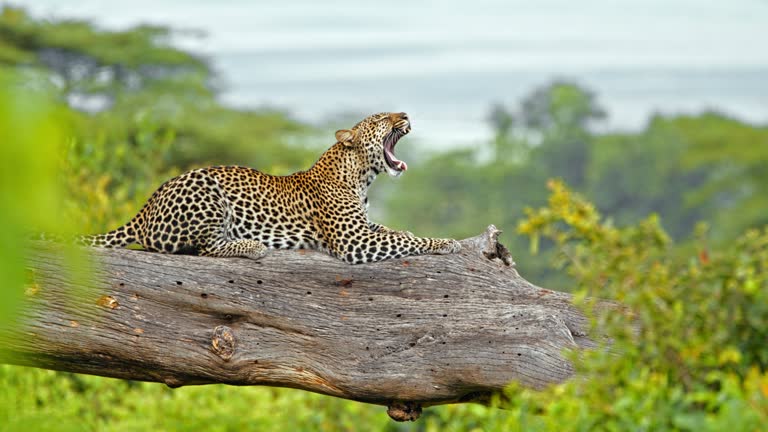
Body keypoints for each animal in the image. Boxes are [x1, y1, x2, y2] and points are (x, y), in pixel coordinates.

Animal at [80, 112, 462, 264]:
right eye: (382, 119)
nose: (405, 115)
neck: (361, 176)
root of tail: (146, 206)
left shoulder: (364, 228)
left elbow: (392, 230)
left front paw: (418, 232)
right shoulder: (354, 242)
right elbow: (407, 241)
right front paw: (445, 242)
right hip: (205, 189)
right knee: (202, 249)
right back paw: (251, 246)